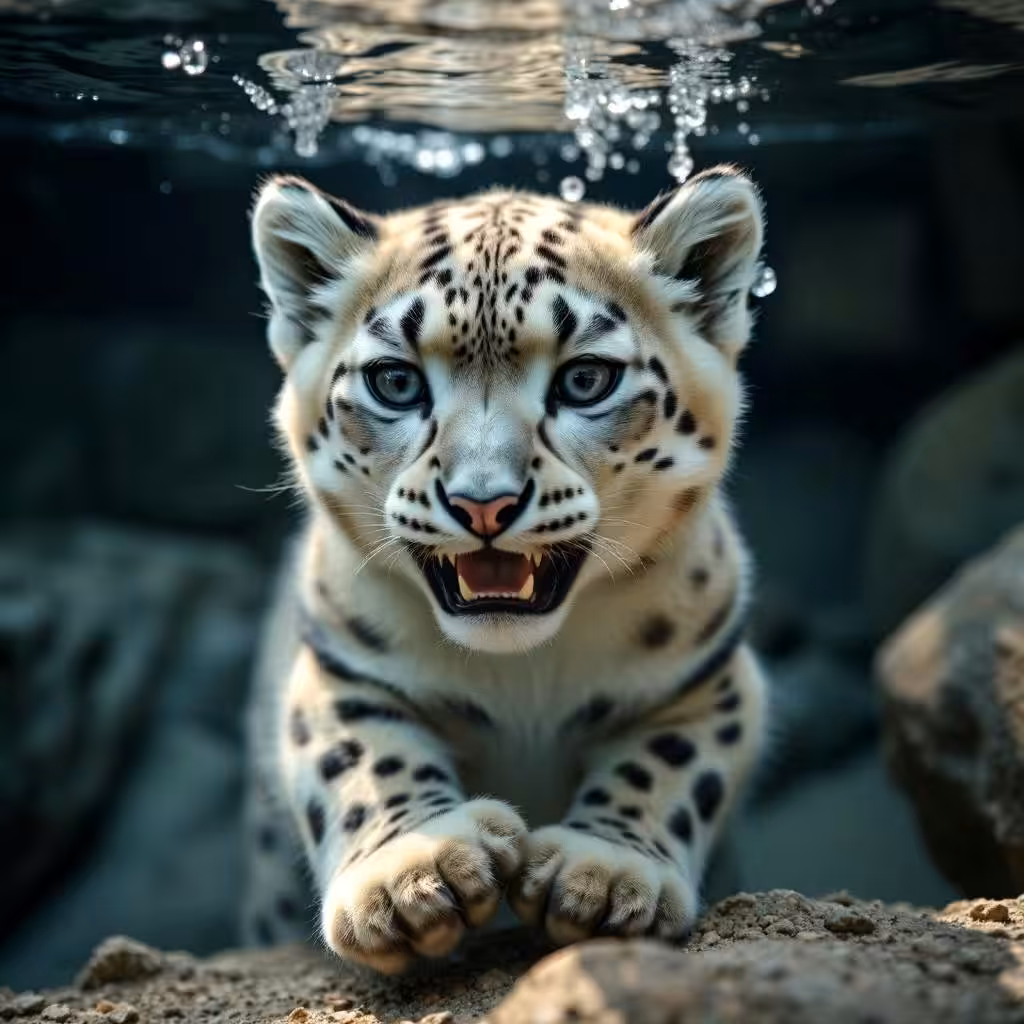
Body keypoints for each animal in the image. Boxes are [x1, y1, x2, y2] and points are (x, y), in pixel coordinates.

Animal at [240, 165, 769, 973]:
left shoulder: (707, 675)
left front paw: (603, 878)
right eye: (396, 382)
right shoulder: (340, 665)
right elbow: (363, 761)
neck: (523, 676)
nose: (482, 502)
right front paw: (416, 877)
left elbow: (668, 766)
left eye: (586, 379)